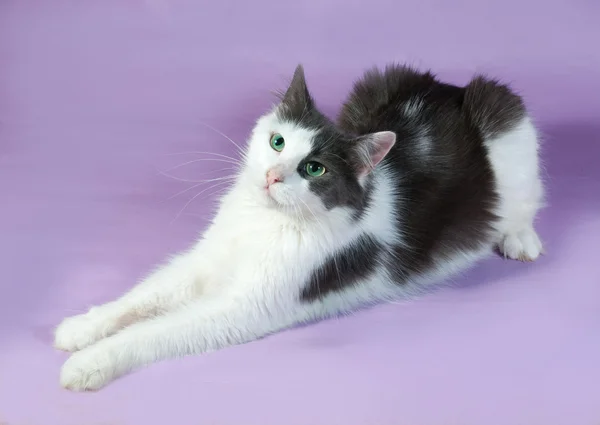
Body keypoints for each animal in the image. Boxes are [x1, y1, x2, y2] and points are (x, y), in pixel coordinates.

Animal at [55, 63, 544, 390]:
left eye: (313, 169)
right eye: (277, 142)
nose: (274, 175)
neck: (264, 221)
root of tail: (453, 89)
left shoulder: (245, 308)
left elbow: (156, 330)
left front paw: (88, 364)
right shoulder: (204, 260)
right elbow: (143, 296)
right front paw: (81, 328)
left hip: (508, 126)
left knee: (526, 200)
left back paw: (521, 239)